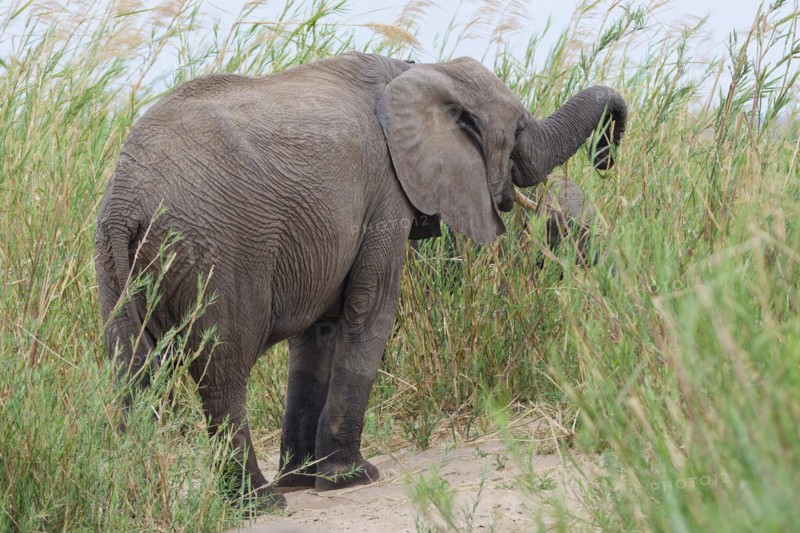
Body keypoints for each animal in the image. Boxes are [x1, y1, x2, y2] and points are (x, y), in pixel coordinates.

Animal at [94, 52, 626, 507]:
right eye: (517, 129)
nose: (606, 154)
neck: (419, 70)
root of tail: (126, 201)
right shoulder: (386, 194)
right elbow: (371, 309)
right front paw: (351, 478)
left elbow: (318, 335)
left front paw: (305, 479)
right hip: (217, 254)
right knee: (221, 371)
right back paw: (259, 501)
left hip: (112, 261)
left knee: (132, 372)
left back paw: (135, 494)